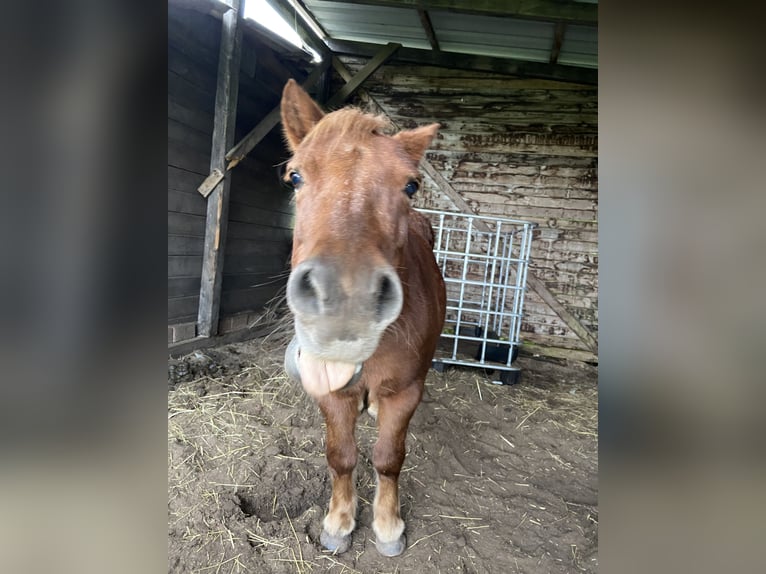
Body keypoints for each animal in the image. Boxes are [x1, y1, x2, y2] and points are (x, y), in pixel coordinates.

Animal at [280, 81, 450, 560]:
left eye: (411, 185)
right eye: (295, 176)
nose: (346, 299)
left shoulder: (405, 392)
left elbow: (389, 458)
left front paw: (388, 526)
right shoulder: (331, 392)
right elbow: (341, 455)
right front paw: (339, 523)